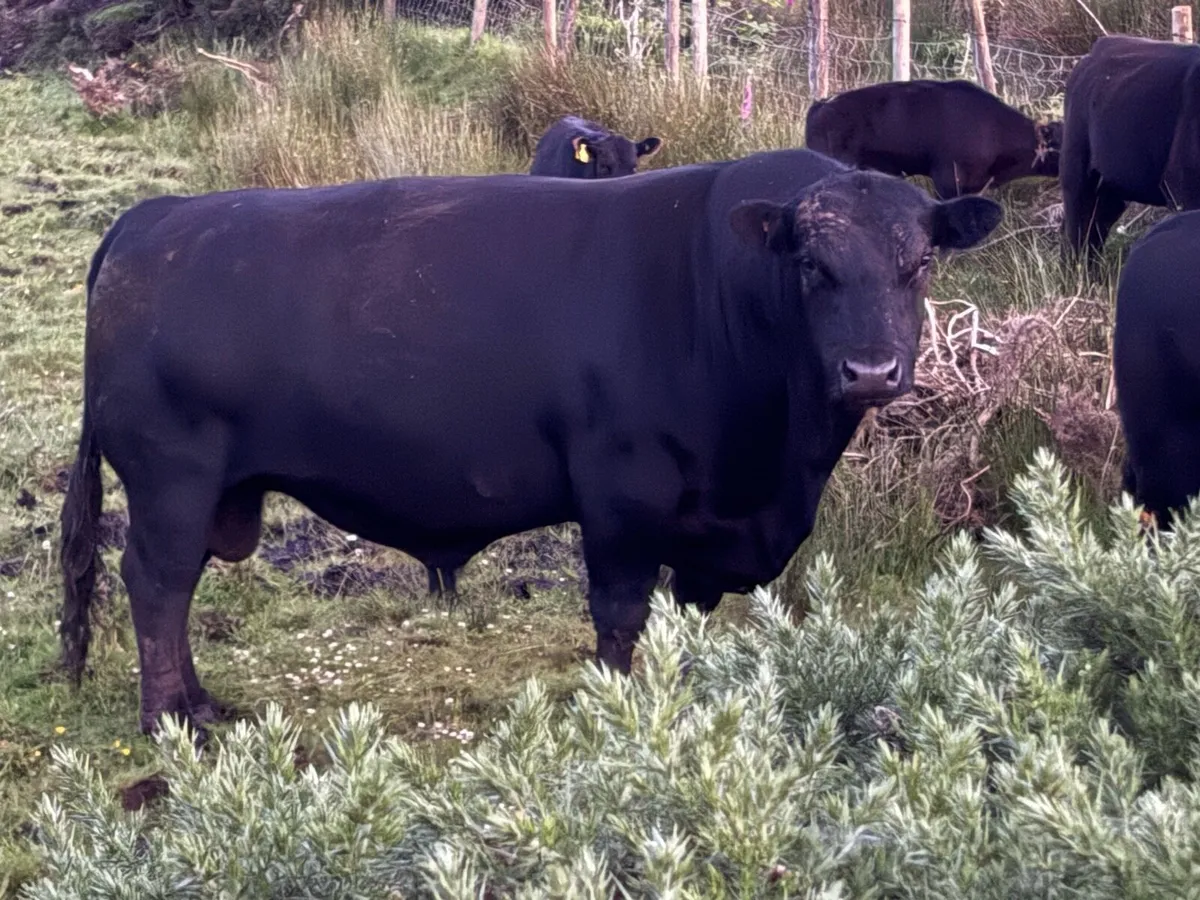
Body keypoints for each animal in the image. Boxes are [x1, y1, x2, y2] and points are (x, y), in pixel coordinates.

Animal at [59, 149, 1001, 736]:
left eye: (919, 264)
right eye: (812, 267)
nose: (872, 369)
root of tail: (155, 219)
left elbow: (682, 622)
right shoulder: (623, 493)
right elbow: (619, 616)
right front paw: (622, 712)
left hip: (207, 487)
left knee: (172, 588)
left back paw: (203, 703)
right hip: (171, 478)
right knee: (156, 583)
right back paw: (173, 718)